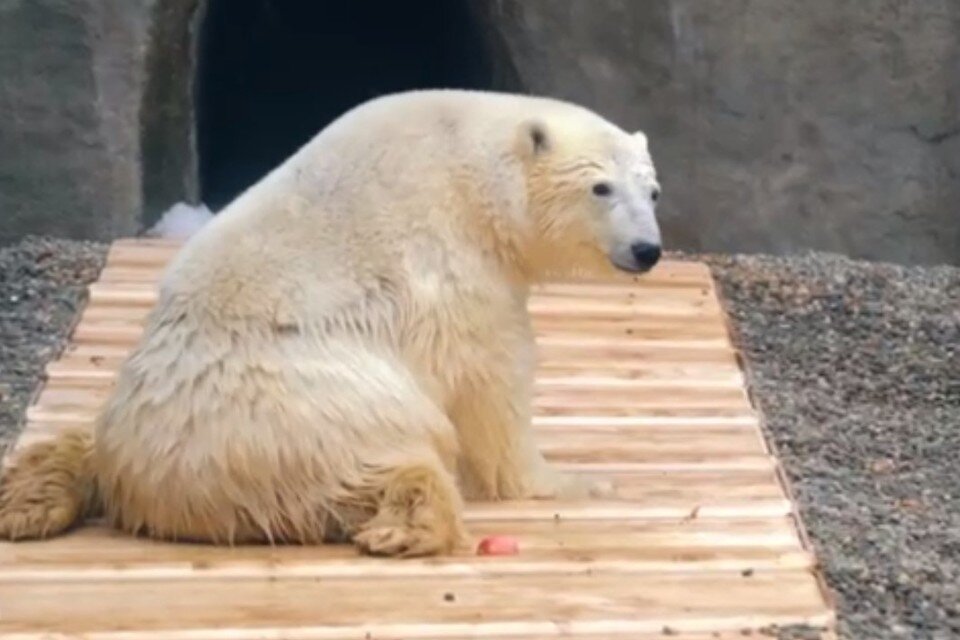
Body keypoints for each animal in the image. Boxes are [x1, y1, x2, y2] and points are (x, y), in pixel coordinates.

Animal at [0, 89, 660, 556]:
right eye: (601, 188)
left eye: (651, 190)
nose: (647, 250)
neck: (473, 168)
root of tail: (143, 479)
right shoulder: (452, 267)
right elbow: (488, 381)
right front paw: (567, 481)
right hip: (301, 412)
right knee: (375, 458)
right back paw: (408, 525)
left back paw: (27, 499)